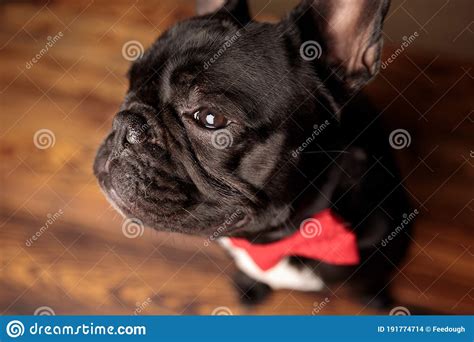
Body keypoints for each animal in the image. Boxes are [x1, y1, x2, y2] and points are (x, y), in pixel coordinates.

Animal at [94, 0, 412, 308]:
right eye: (131, 84)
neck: (277, 241)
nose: (124, 123)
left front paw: (378, 300)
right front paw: (249, 286)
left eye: (211, 118)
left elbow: (371, 282)